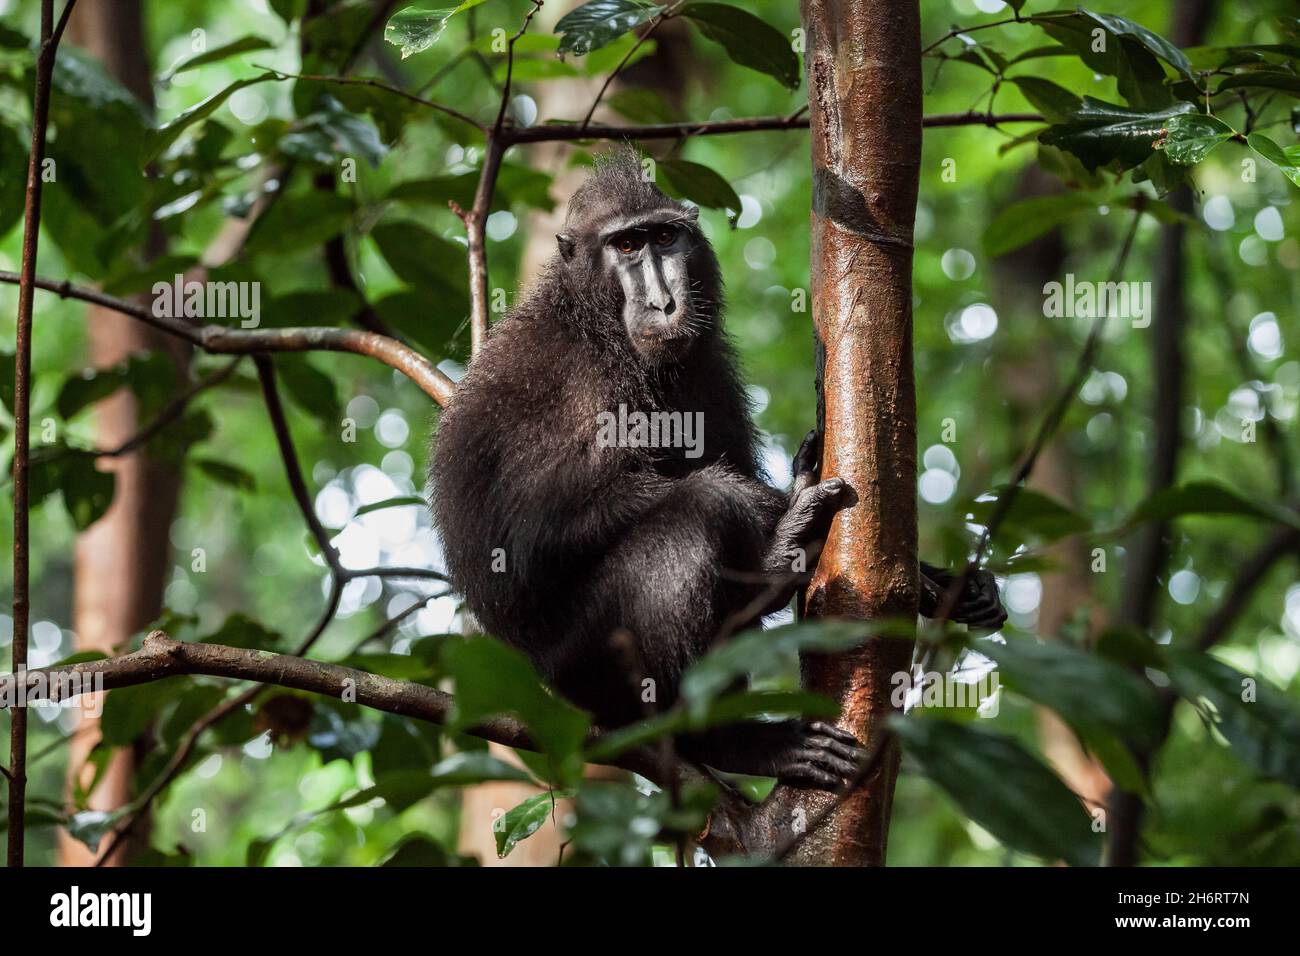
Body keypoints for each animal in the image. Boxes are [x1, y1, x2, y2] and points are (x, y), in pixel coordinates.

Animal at [431, 151, 1006, 790]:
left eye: (663, 237)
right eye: (626, 245)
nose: (663, 303)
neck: (596, 324)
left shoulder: (706, 365)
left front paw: (943, 584)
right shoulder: (567, 374)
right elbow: (528, 532)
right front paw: (771, 510)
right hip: (586, 669)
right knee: (689, 525)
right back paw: (724, 723)